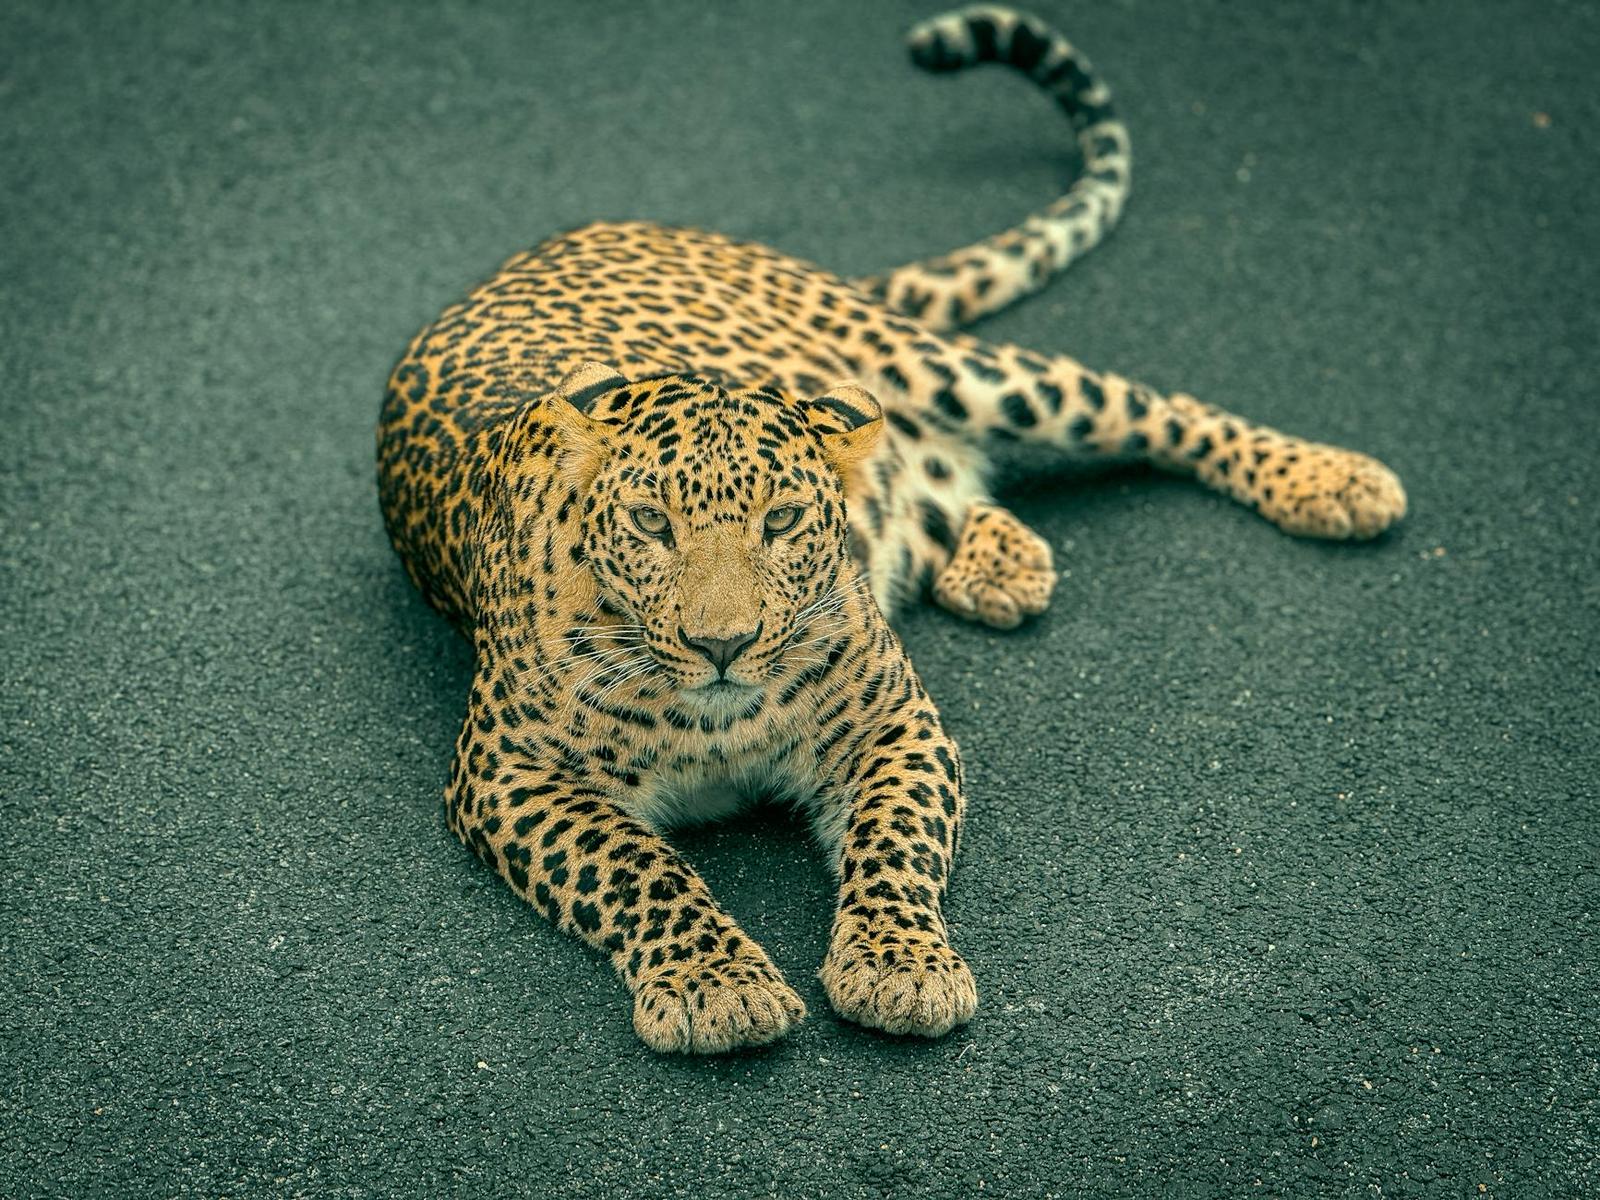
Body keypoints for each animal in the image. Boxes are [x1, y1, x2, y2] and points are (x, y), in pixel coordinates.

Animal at [378, 5, 1406, 1054]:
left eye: (783, 520)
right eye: (650, 523)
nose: (722, 645)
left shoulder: (893, 725)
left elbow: (893, 844)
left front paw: (898, 965)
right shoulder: (509, 774)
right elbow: (640, 869)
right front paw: (717, 986)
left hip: (951, 369)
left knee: (1162, 409)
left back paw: (1334, 480)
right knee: (945, 478)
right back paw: (1001, 563)